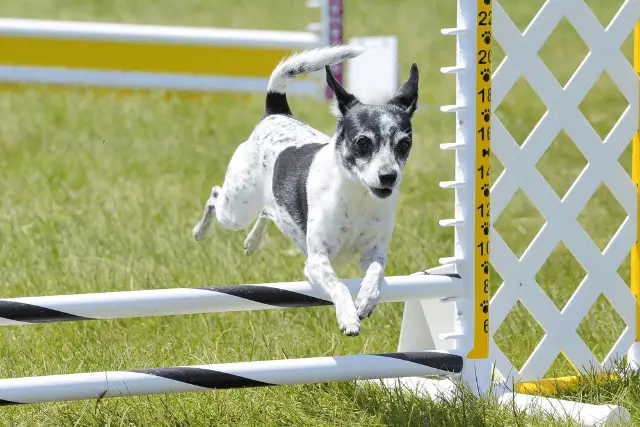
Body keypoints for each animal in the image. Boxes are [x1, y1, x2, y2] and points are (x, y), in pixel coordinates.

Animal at [192, 45, 418, 336]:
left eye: (404, 144)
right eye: (363, 142)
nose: (389, 176)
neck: (358, 197)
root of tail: (277, 113)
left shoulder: (373, 253)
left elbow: (376, 272)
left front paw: (367, 299)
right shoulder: (317, 261)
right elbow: (338, 285)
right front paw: (348, 317)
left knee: (268, 212)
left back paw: (252, 242)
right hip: (235, 211)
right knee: (215, 195)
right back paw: (200, 231)